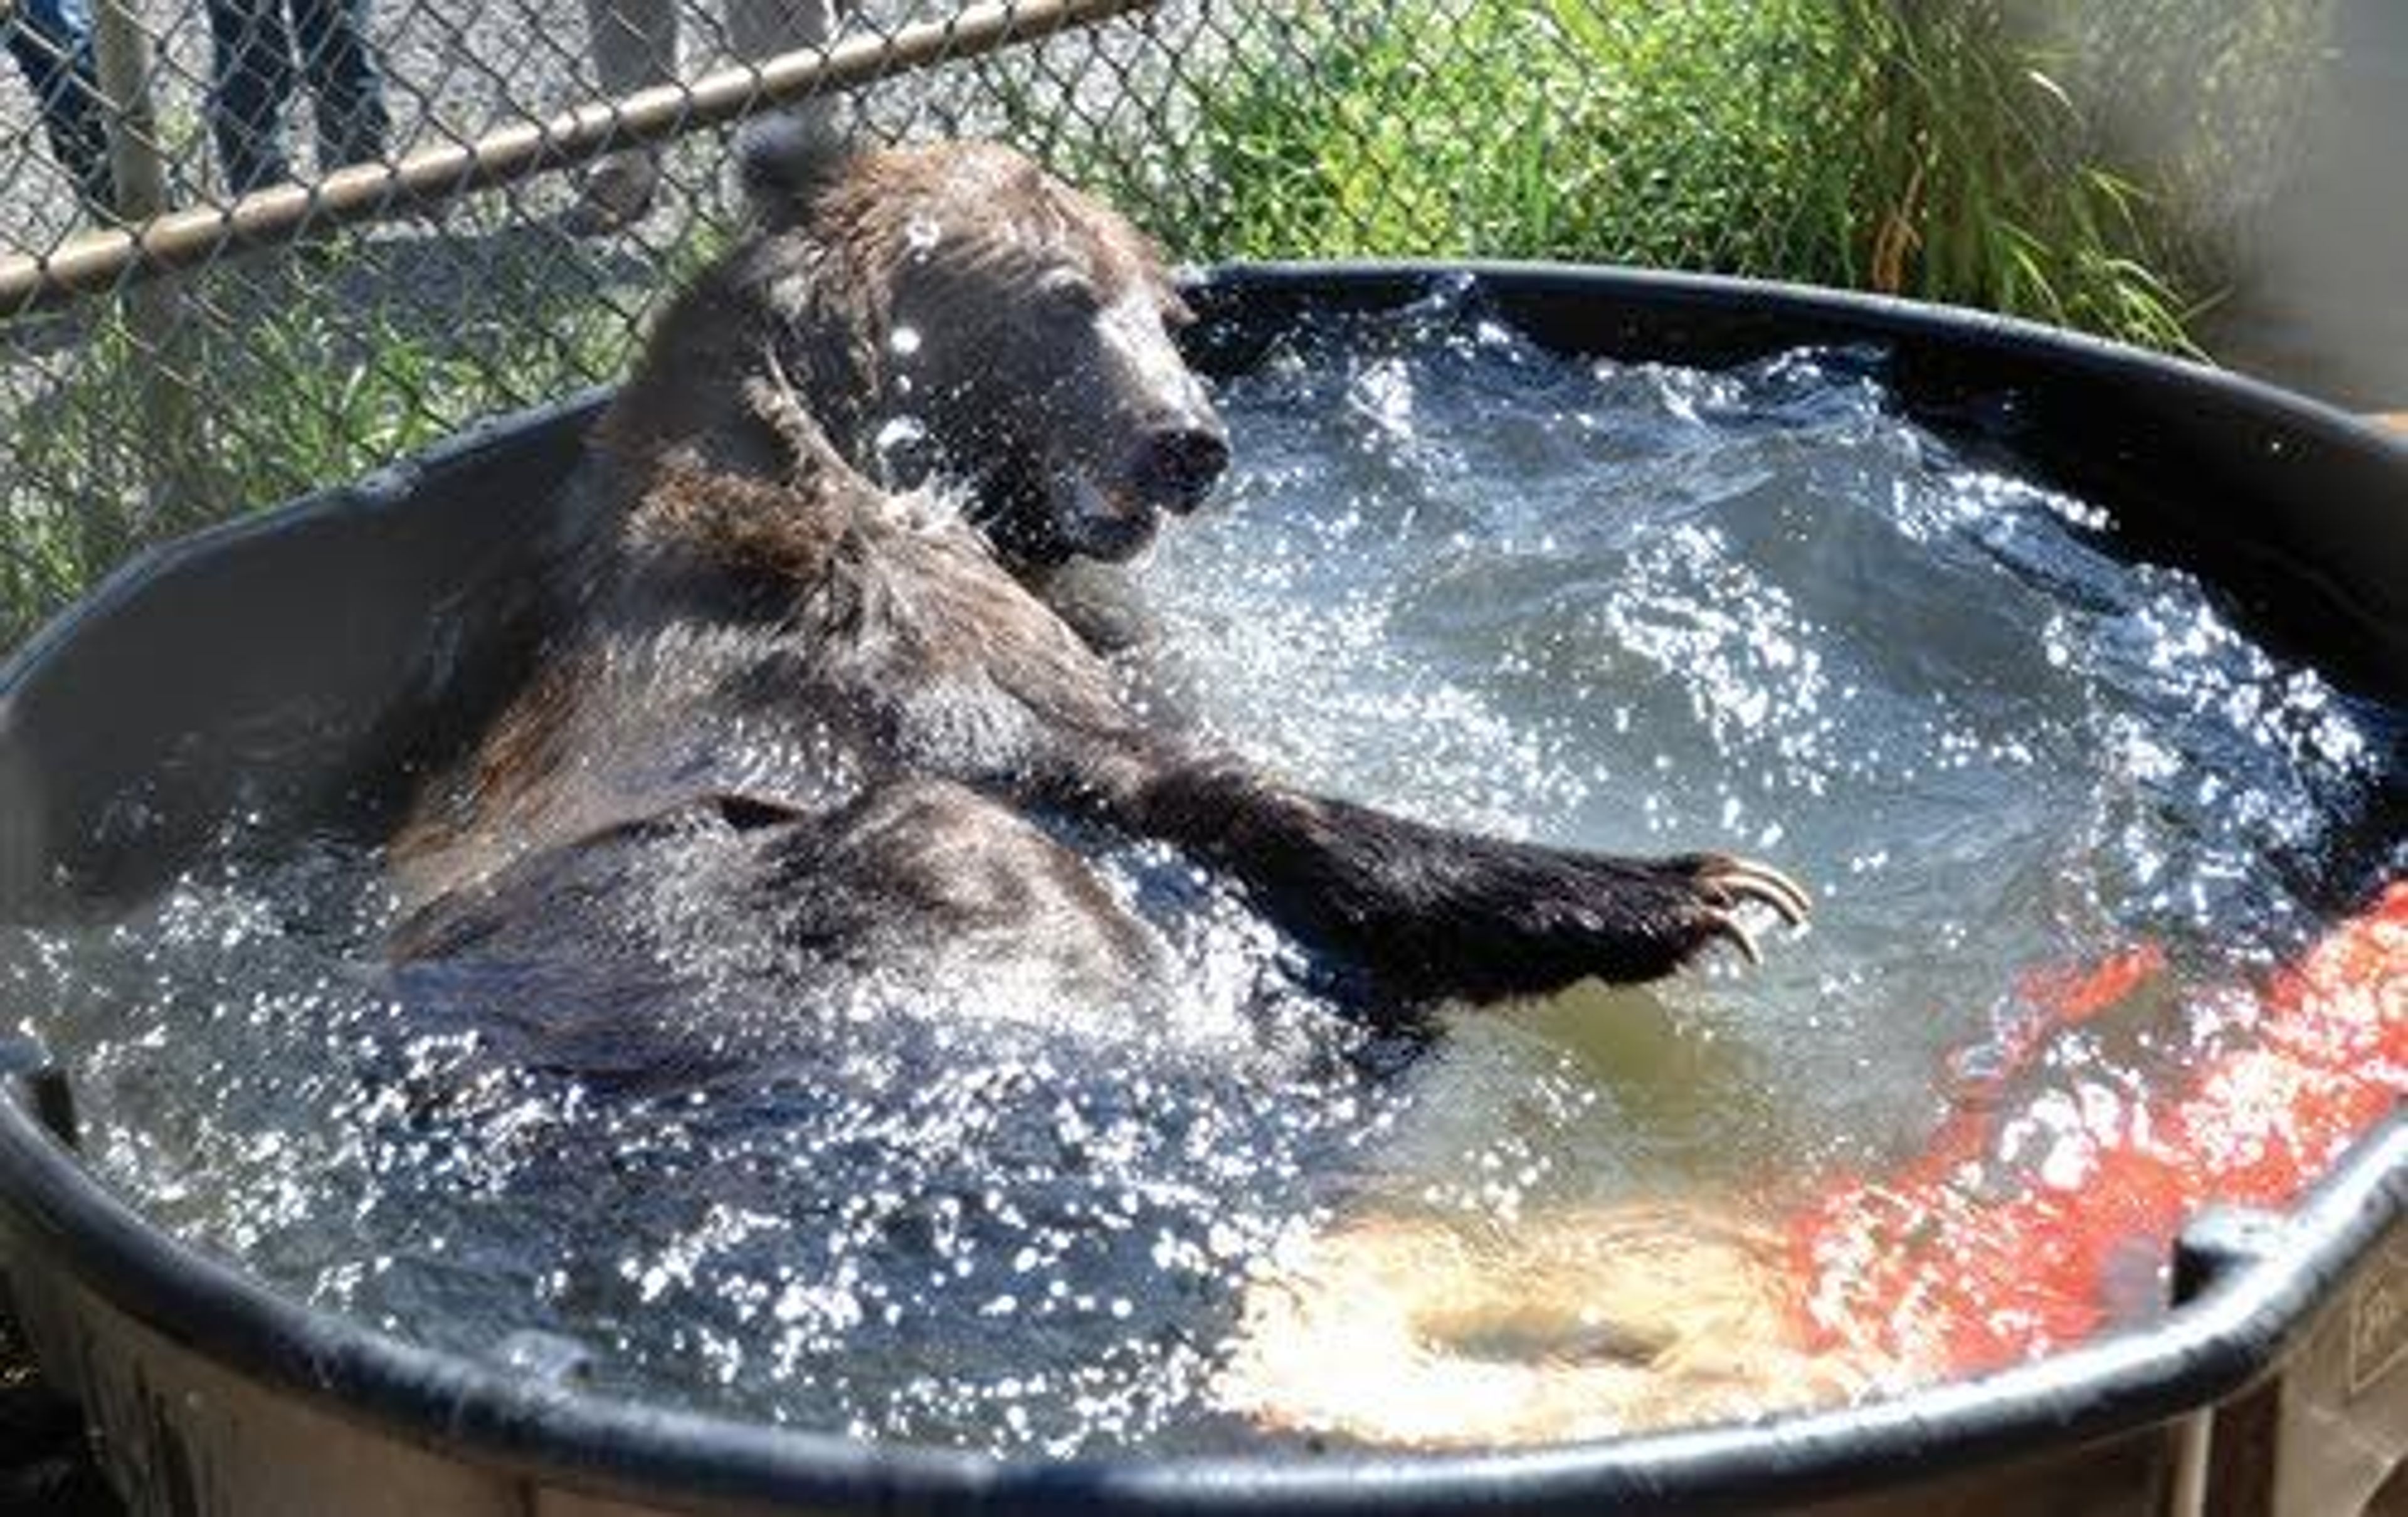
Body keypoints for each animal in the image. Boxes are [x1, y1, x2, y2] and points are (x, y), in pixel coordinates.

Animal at [390, 134, 1810, 1083]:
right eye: (1063, 300)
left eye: (1166, 305)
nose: (1190, 443)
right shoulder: (892, 646)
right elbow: (1175, 776)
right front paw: (1681, 889)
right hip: (702, 905)